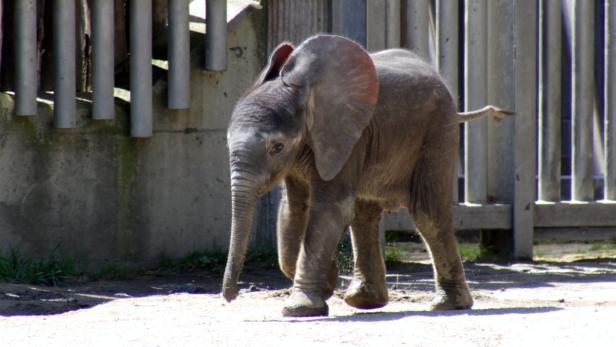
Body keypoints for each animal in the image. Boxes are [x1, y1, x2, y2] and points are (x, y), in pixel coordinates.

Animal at [224, 34, 512, 318]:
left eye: (277, 147)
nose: (230, 297)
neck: (304, 92)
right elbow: (294, 208)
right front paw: (326, 284)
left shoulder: (348, 136)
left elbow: (329, 209)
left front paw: (300, 308)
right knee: (364, 215)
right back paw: (364, 301)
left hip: (438, 131)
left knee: (428, 214)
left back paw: (448, 305)